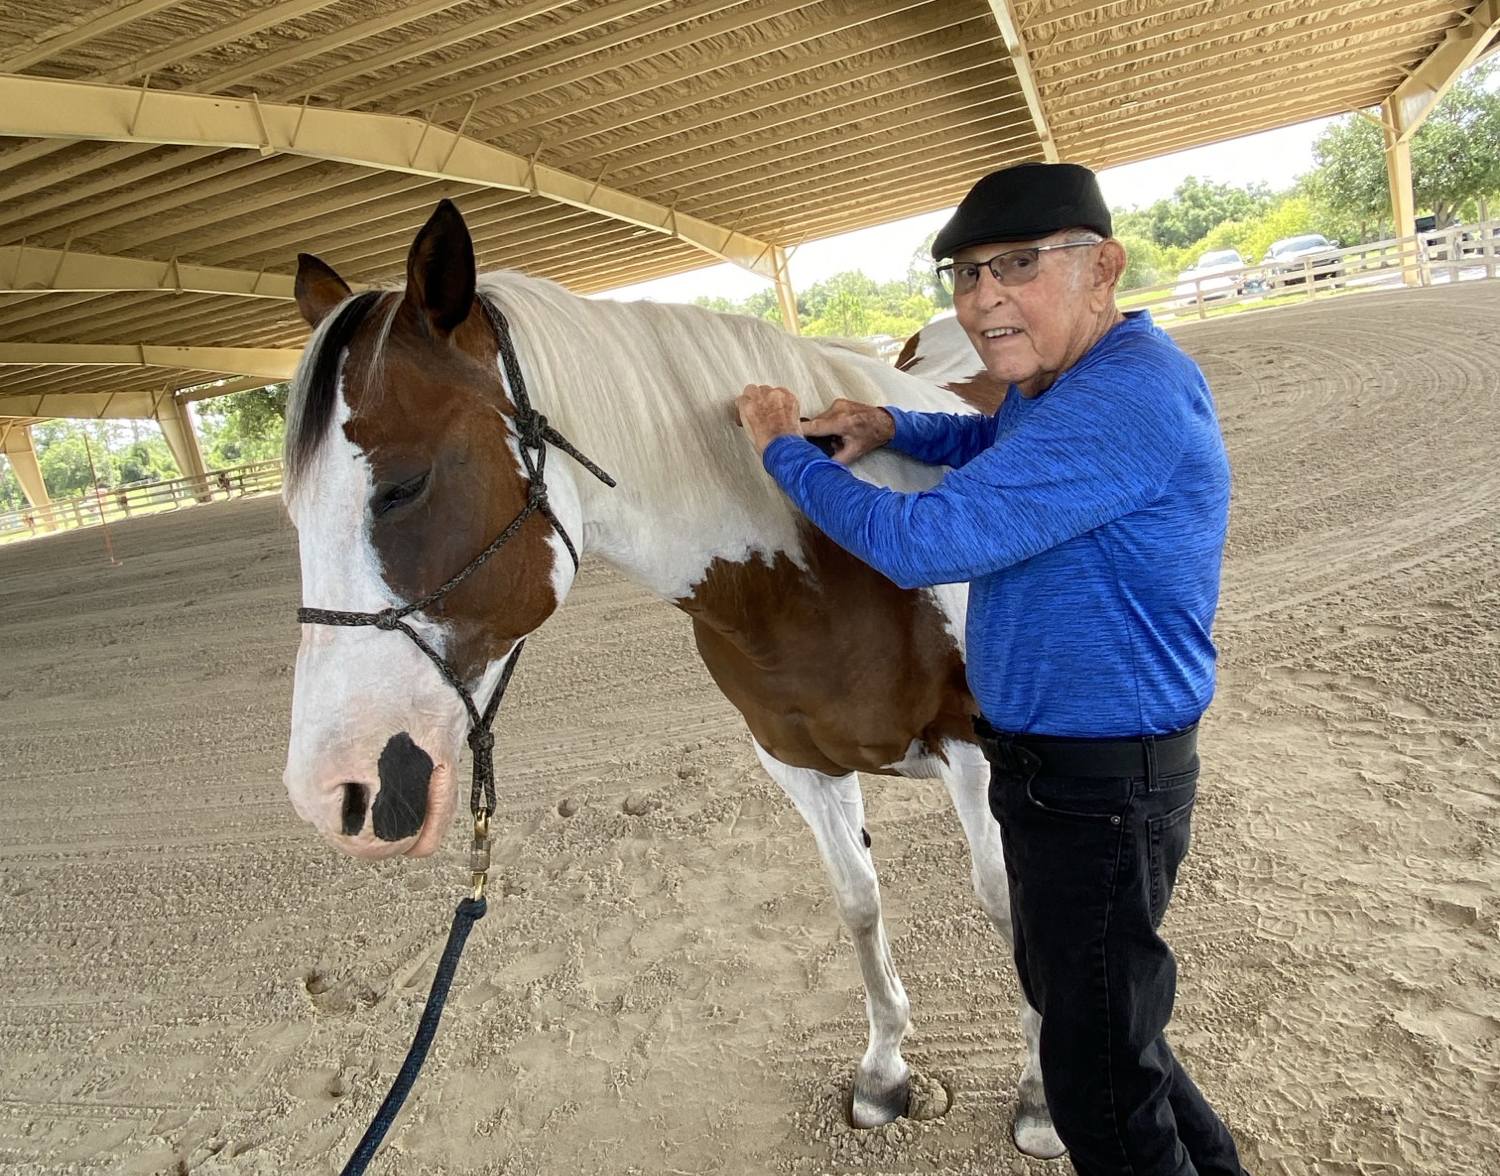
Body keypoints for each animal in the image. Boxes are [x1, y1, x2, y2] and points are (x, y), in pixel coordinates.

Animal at [281, 198, 1062, 1159]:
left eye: (402, 486)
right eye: (293, 509)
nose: (333, 792)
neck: (833, 548)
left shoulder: (980, 754)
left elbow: (1011, 910)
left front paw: (1043, 1095)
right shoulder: (795, 763)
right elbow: (857, 902)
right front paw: (885, 1071)